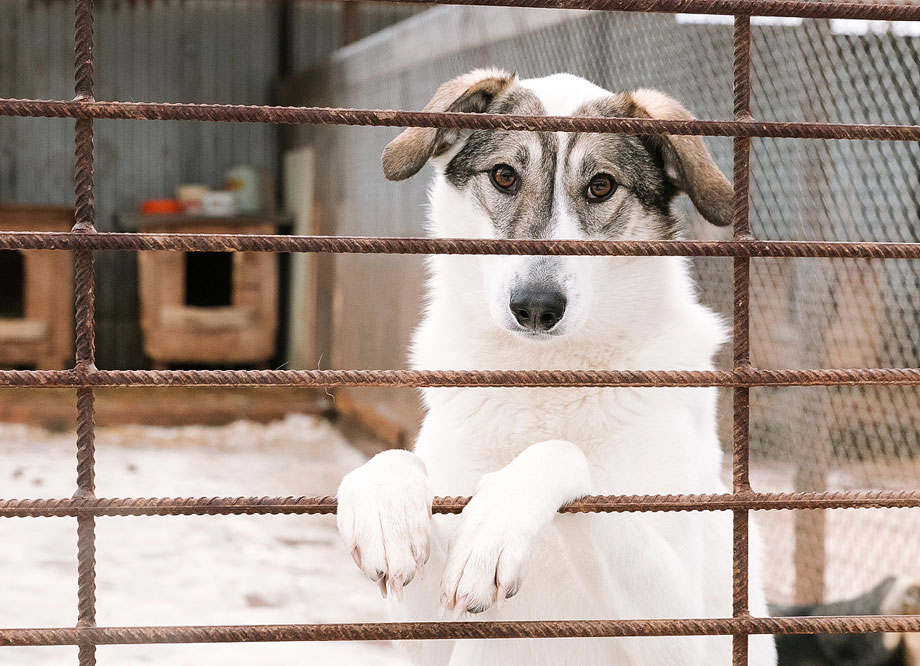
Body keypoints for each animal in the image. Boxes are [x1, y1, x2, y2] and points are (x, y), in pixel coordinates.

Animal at [334, 68, 780, 664]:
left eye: (601, 186)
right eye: (504, 176)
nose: (536, 306)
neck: (544, 378)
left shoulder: (692, 630)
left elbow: (559, 454)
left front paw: (495, 526)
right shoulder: (431, 634)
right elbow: (393, 457)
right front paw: (386, 508)